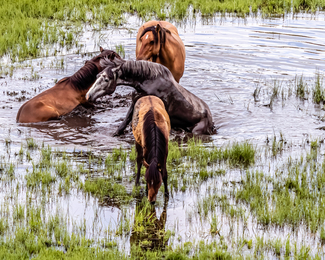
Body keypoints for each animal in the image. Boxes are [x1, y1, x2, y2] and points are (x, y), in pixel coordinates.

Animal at [85, 59, 214, 136]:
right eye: (97, 76)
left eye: (106, 79)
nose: (88, 96)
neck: (146, 83)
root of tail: (210, 120)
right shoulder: (135, 102)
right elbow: (126, 121)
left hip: (196, 131)